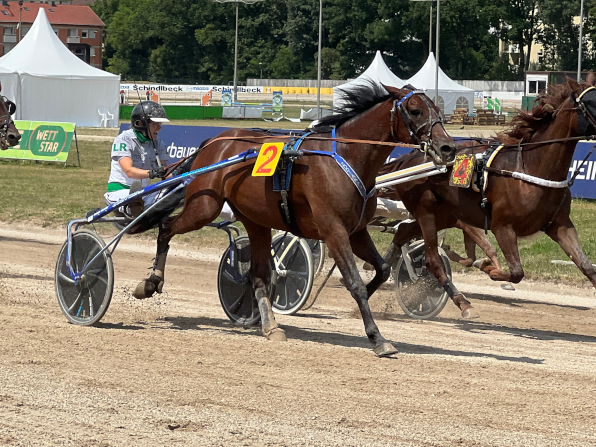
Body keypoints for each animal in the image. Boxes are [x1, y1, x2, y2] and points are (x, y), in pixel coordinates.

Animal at [133, 82, 454, 356]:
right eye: (415, 110)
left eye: (438, 111)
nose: (447, 147)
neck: (348, 155)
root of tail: (215, 140)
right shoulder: (333, 230)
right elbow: (355, 283)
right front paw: (377, 338)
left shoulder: (356, 231)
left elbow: (383, 270)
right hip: (204, 206)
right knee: (166, 228)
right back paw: (150, 282)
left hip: (256, 220)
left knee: (258, 275)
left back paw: (269, 325)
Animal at [380, 74, 596, 318]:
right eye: (592, 102)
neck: (532, 167)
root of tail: (408, 158)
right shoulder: (502, 226)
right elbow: (517, 272)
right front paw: (488, 267)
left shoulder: (560, 225)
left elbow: (587, 268)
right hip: (426, 211)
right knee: (431, 259)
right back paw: (462, 302)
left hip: (443, 215)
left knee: (403, 232)